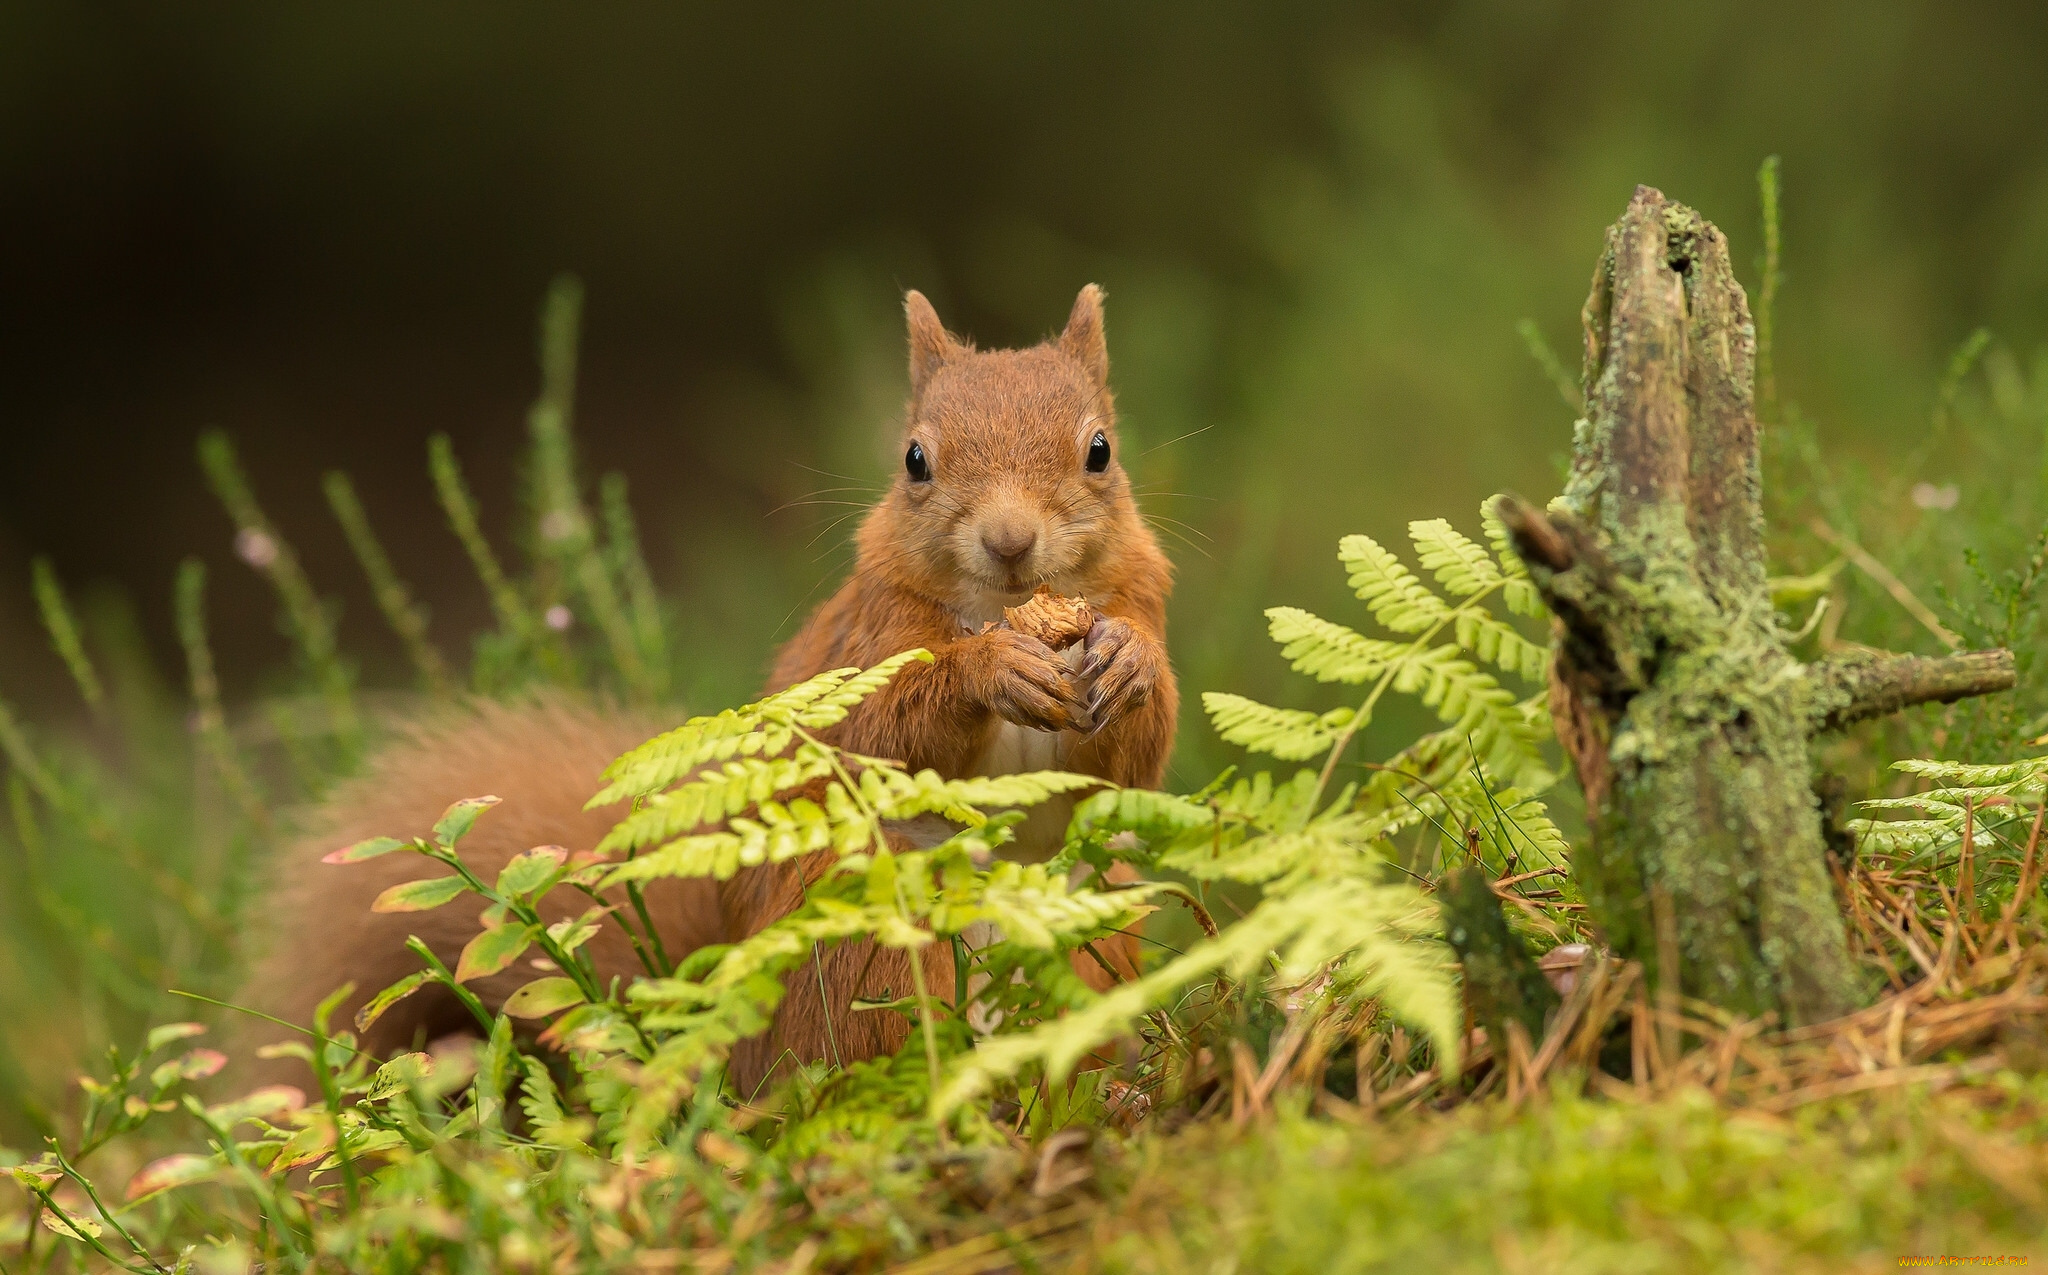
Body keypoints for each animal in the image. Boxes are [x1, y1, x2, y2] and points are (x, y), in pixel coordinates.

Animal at [247, 284, 1179, 1088]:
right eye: (914, 459)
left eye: (1101, 450)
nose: (1010, 540)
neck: (1003, 608)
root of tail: (741, 1060)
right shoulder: (866, 645)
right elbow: (887, 732)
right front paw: (989, 671)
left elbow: (1126, 762)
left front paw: (1129, 661)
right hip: (866, 939)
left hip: (1089, 923)